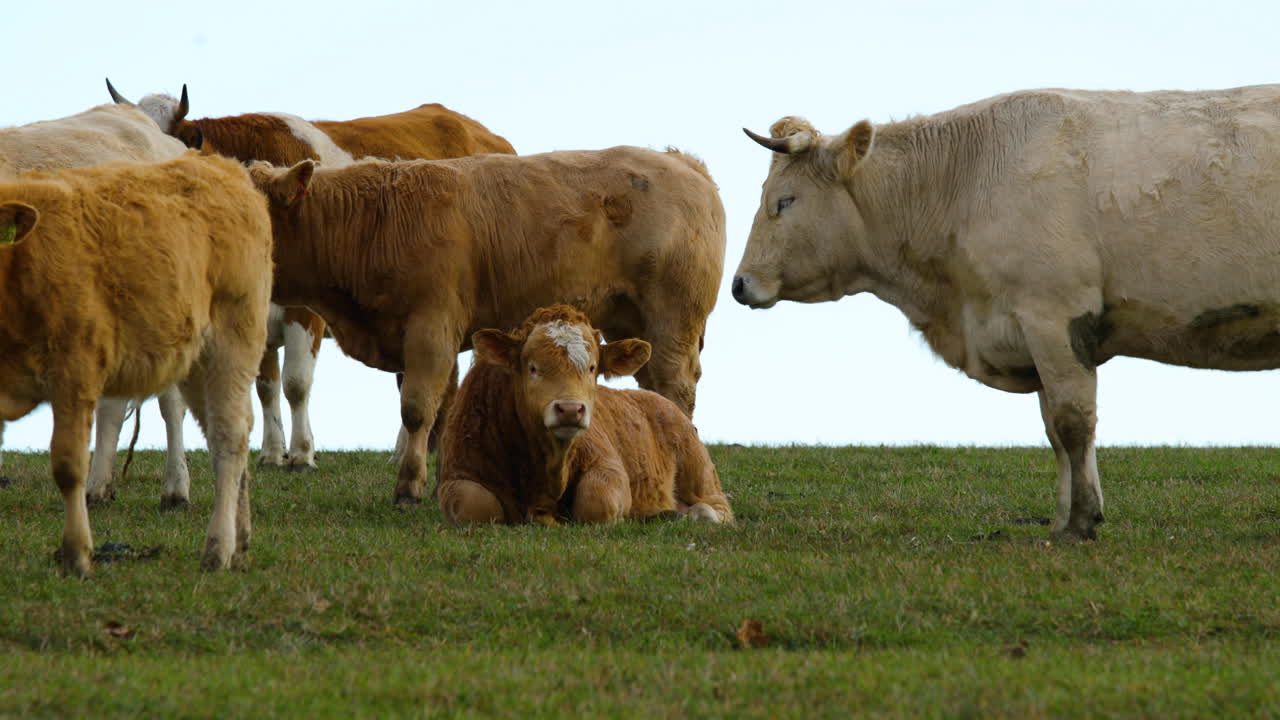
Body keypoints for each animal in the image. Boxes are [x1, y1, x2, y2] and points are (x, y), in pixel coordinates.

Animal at [0, 152, 272, 574]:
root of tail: (222, 165)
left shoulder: (74, 371)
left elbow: (68, 465)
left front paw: (77, 555)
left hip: (233, 342)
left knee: (230, 437)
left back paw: (218, 548)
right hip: (195, 365)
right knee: (223, 431)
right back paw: (239, 540)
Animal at [247, 145, 725, 504]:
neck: (373, 222)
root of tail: (684, 162)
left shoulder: (431, 329)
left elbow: (418, 409)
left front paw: (409, 488)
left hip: (672, 321)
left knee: (675, 390)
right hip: (634, 323)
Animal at [438, 305, 732, 525]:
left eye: (592, 368)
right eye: (533, 367)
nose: (570, 409)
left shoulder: (608, 466)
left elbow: (596, 500)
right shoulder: (456, 475)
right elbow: (474, 505)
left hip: (697, 470)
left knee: (716, 507)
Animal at [733, 84, 1280, 540]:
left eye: (784, 201)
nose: (739, 285)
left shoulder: (1054, 316)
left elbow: (1072, 421)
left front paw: (1080, 523)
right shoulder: (1027, 331)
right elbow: (1054, 431)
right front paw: (1065, 517)